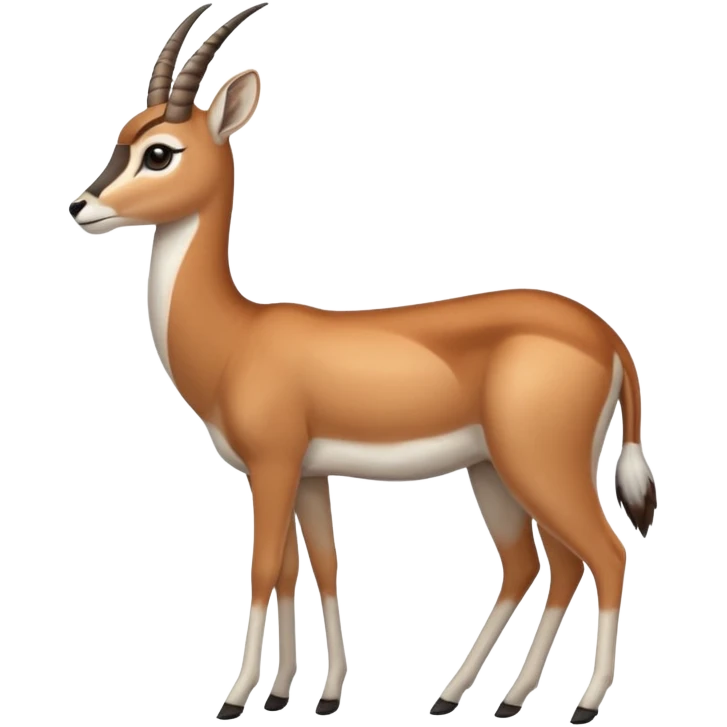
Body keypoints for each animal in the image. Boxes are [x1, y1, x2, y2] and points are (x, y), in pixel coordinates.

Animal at [68, 3, 658, 723]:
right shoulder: (307, 475)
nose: (81, 206)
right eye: (125, 134)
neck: (239, 335)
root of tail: (606, 335)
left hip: (540, 465)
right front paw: (302, 694)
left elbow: (263, 568)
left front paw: (237, 698)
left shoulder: (272, 468)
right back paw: (479, 698)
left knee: (605, 554)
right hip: (493, 470)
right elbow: (313, 567)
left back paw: (582, 704)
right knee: (539, 564)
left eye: (159, 151)